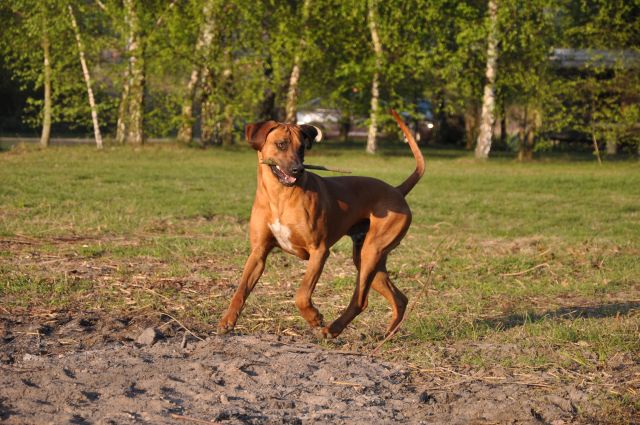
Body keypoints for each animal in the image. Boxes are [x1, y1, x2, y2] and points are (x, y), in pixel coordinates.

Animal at [218, 110, 424, 338]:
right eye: (281, 144)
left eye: (301, 148)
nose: (297, 169)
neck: (280, 195)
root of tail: (397, 190)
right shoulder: (258, 253)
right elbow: (241, 289)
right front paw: (227, 320)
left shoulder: (319, 251)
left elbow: (301, 293)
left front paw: (313, 317)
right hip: (366, 258)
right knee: (400, 298)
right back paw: (387, 335)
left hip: (372, 251)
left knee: (361, 300)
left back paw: (333, 329)